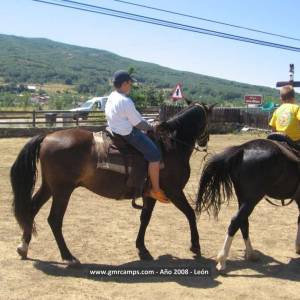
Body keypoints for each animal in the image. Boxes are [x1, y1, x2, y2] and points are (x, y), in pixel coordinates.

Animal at [10, 102, 212, 264]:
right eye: (207, 120)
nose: (205, 141)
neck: (171, 147)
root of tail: (47, 137)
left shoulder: (150, 195)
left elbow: (144, 219)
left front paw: (142, 248)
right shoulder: (174, 191)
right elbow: (190, 214)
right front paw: (195, 245)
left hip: (49, 187)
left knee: (31, 210)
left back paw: (23, 247)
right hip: (62, 191)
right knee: (54, 220)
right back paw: (68, 256)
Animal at [195, 139, 300, 270]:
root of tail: (242, 149)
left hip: (243, 197)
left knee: (243, 222)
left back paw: (251, 254)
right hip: (252, 199)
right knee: (236, 221)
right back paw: (222, 260)